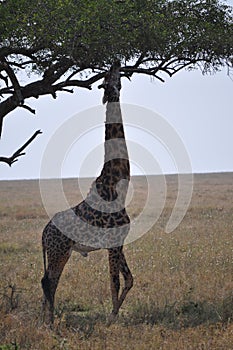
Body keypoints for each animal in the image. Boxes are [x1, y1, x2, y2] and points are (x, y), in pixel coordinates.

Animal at [41, 61, 134, 326]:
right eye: (110, 78)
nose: (116, 62)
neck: (116, 187)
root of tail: (44, 233)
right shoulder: (113, 242)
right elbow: (114, 282)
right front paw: (111, 320)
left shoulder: (119, 241)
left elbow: (129, 279)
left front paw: (115, 314)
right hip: (59, 251)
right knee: (48, 281)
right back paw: (50, 322)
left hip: (59, 252)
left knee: (49, 281)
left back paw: (45, 317)